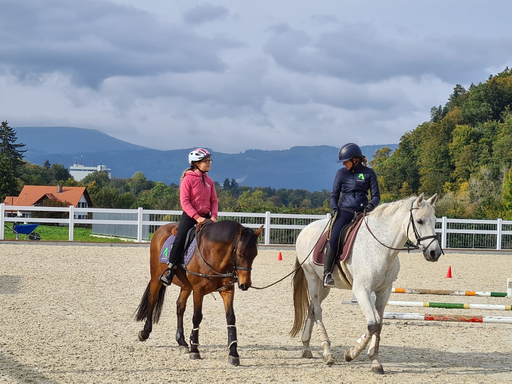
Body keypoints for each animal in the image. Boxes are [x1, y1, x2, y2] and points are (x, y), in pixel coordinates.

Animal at [134, 220, 262, 364]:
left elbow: (230, 317)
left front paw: (233, 353)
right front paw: (195, 350)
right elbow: (197, 317)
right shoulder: (198, 290)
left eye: (255, 255)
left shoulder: (227, 290)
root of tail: (161, 229)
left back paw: (182, 342)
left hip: (185, 286)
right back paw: (144, 333)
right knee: (152, 300)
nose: (245, 284)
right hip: (156, 278)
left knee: (180, 306)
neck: (212, 254)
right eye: (240, 254)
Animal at [290, 194, 442, 374]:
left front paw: (374, 361)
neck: (381, 248)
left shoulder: (384, 291)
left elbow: (378, 325)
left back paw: (306, 347)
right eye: (419, 221)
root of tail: (305, 229)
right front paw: (351, 353)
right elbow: (372, 324)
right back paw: (327, 353)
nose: (435, 252)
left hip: (323, 286)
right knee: (318, 312)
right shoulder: (362, 290)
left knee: (313, 309)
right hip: (312, 278)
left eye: (434, 220)